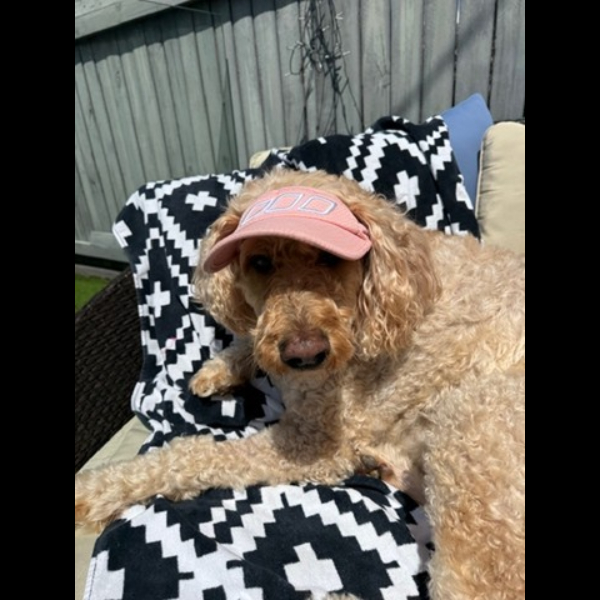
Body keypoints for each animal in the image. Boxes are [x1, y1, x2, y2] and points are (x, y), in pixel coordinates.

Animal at [76, 170, 525, 599]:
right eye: (259, 262)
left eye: (330, 258)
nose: (305, 354)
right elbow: (250, 339)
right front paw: (221, 367)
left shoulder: (313, 442)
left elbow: (193, 455)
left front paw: (96, 488)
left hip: (474, 425)